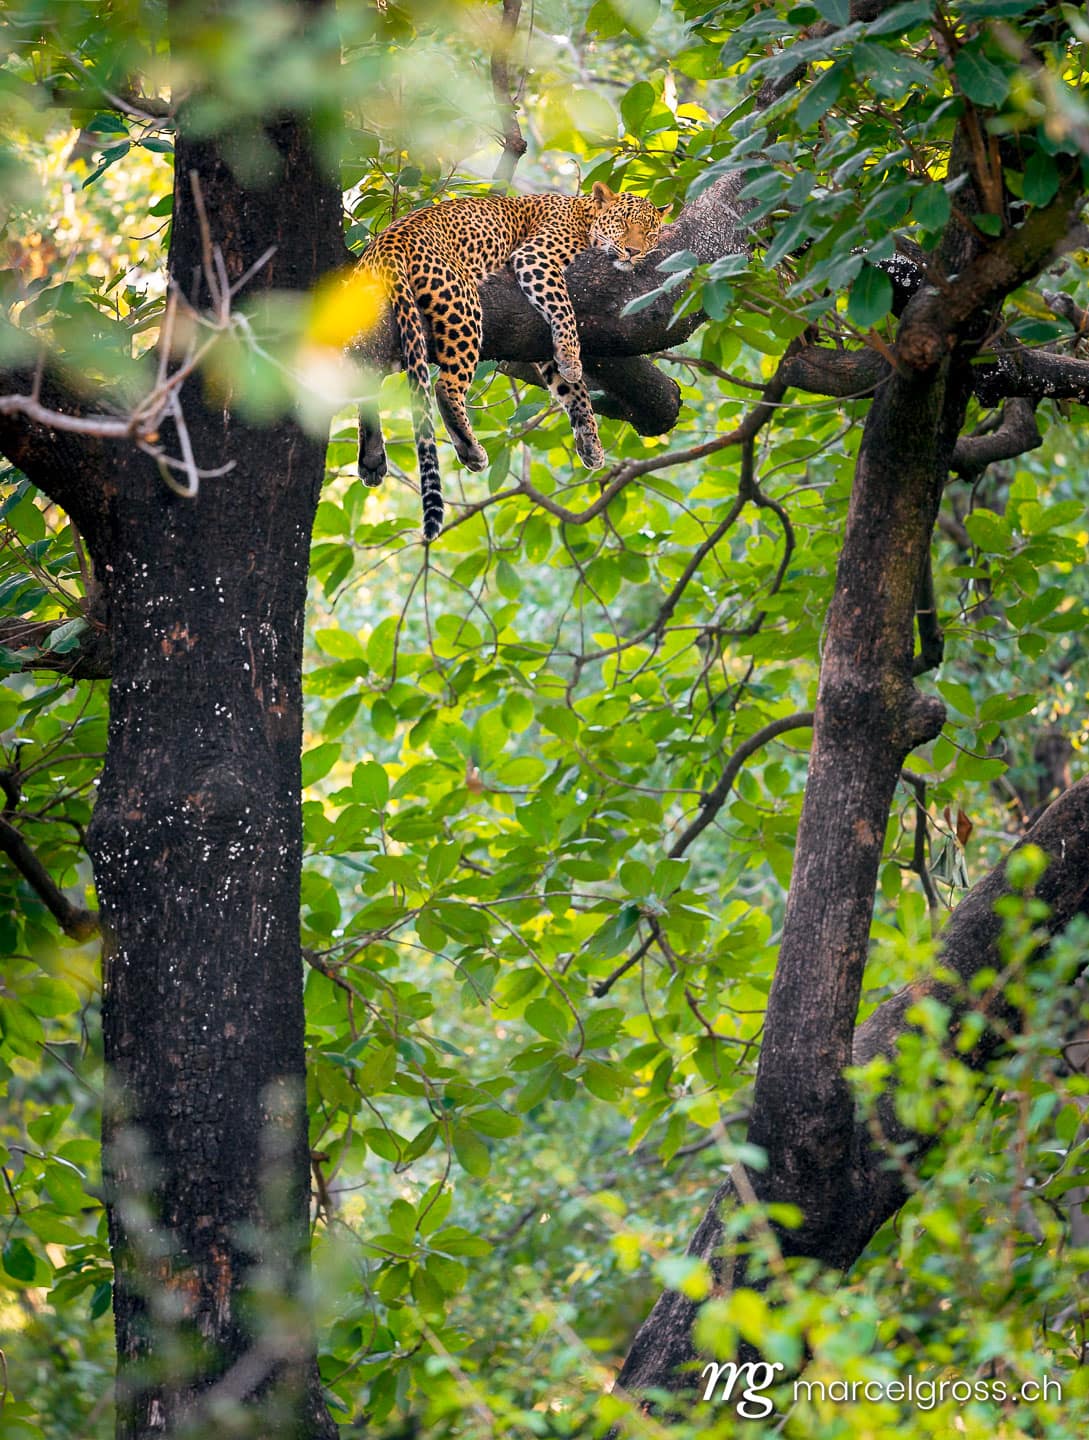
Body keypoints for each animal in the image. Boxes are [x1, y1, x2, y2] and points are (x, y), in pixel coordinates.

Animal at [355, 182, 671, 541]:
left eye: (650, 232)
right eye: (622, 222)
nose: (632, 251)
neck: (584, 215)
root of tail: (387, 240)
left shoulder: (539, 344)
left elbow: (573, 391)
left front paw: (589, 440)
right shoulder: (536, 257)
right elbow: (564, 307)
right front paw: (572, 356)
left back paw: (372, 459)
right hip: (462, 304)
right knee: (444, 386)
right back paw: (470, 448)